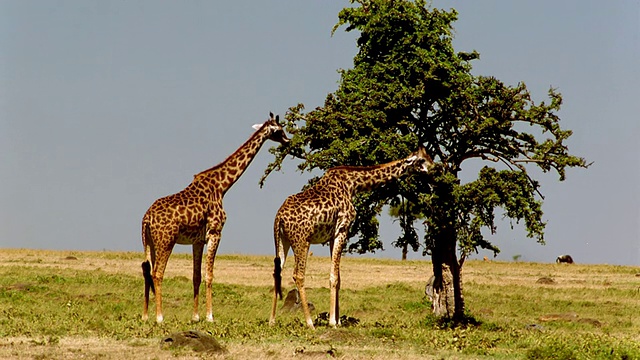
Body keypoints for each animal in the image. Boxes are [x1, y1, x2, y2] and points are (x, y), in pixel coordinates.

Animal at [143, 112, 290, 324]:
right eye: (279, 130)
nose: (288, 140)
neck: (222, 186)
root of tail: (146, 218)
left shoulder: (197, 240)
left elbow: (196, 276)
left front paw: (196, 316)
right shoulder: (215, 232)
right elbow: (209, 275)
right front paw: (210, 316)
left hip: (149, 242)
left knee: (147, 271)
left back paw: (146, 315)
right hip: (165, 240)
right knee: (157, 273)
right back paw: (160, 317)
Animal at [268, 147, 432, 330]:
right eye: (422, 160)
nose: (434, 168)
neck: (353, 185)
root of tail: (279, 217)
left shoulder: (332, 235)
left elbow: (338, 277)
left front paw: (338, 320)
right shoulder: (342, 228)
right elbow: (334, 276)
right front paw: (333, 322)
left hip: (282, 240)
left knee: (277, 272)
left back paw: (272, 320)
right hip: (302, 241)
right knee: (298, 275)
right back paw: (310, 323)